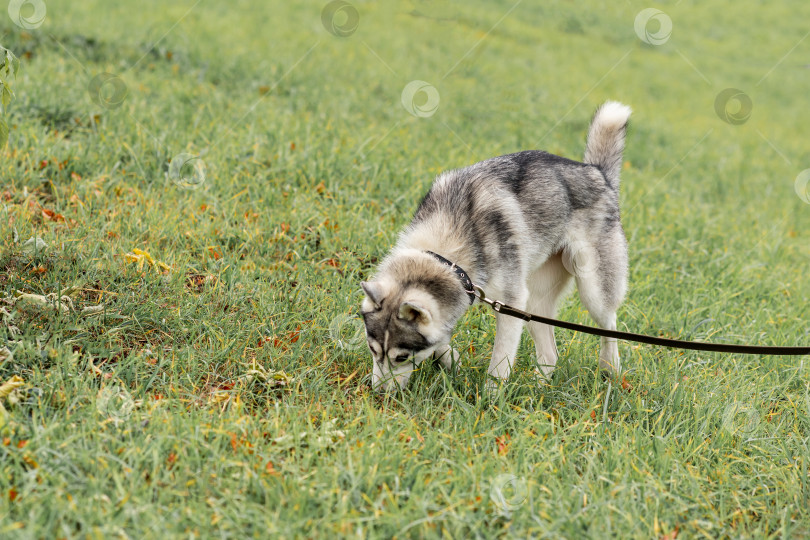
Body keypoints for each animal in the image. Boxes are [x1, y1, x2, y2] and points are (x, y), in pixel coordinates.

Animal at [360, 101, 632, 390]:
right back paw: (535, 390)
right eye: (373, 350)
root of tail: (597, 172)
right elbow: (441, 339)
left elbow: (500, 363)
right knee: (550, 354)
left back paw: (610, 370)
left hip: (592, 292)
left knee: (609, 325)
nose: (378, 393)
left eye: (401, 357)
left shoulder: (511, 305)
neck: (448, 250)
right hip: (534, 302)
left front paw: (491, 395)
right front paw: (451, 359)